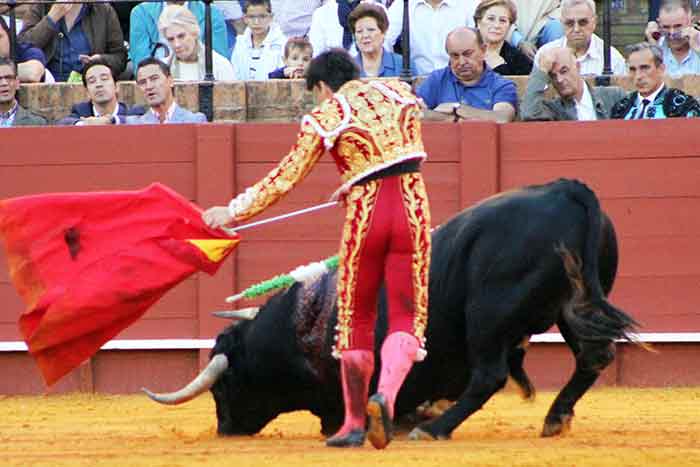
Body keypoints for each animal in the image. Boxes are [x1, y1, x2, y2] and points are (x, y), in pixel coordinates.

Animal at [146, 177, 640, 440]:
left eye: (223, 387)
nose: (225, 428)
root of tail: (564, 191)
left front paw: (404, 420)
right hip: (576, 306)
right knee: (593, 357)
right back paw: (554, 418)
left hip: (488, 316)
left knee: (490, 375)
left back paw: (437, 429)